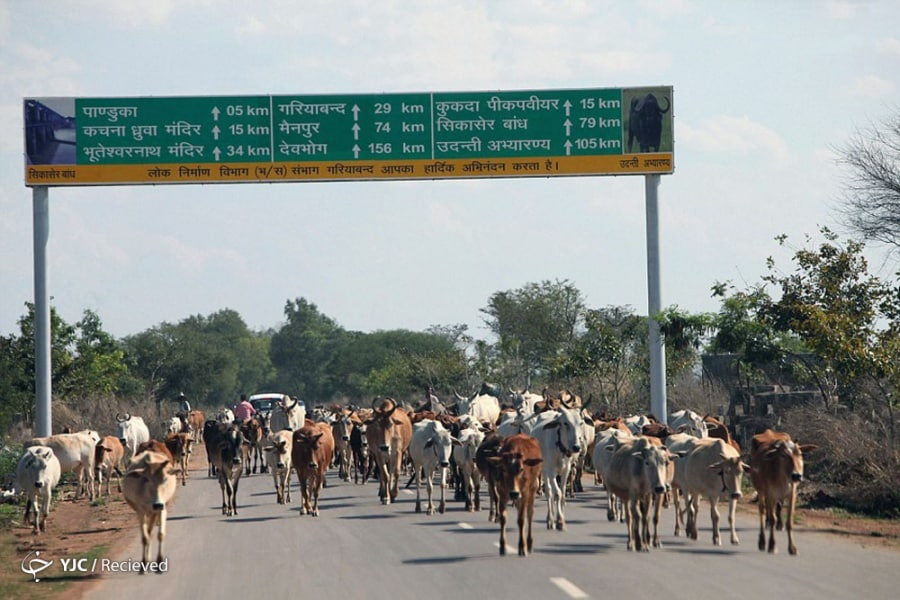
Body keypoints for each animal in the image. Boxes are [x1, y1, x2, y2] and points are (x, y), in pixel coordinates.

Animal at [748, 428, 820, 556]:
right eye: (783, 455)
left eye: (799, 454)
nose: (796, 475)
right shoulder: (770, 494)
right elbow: (772, 519)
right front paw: (772, 545)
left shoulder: (792, 494)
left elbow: (789, 521)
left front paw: (792, 548)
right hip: (761, 491)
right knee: (762, 511)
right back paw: (762, 542)